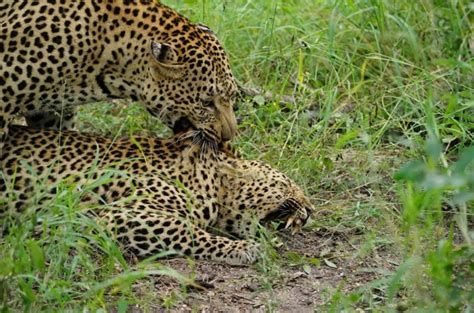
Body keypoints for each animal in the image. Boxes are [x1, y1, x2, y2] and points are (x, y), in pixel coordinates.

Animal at [0, 125, 314, 264]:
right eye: (287, 185)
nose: (311, 211)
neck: (211, 181)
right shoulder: (123, 213)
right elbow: (188, 231)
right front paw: (243, 249)